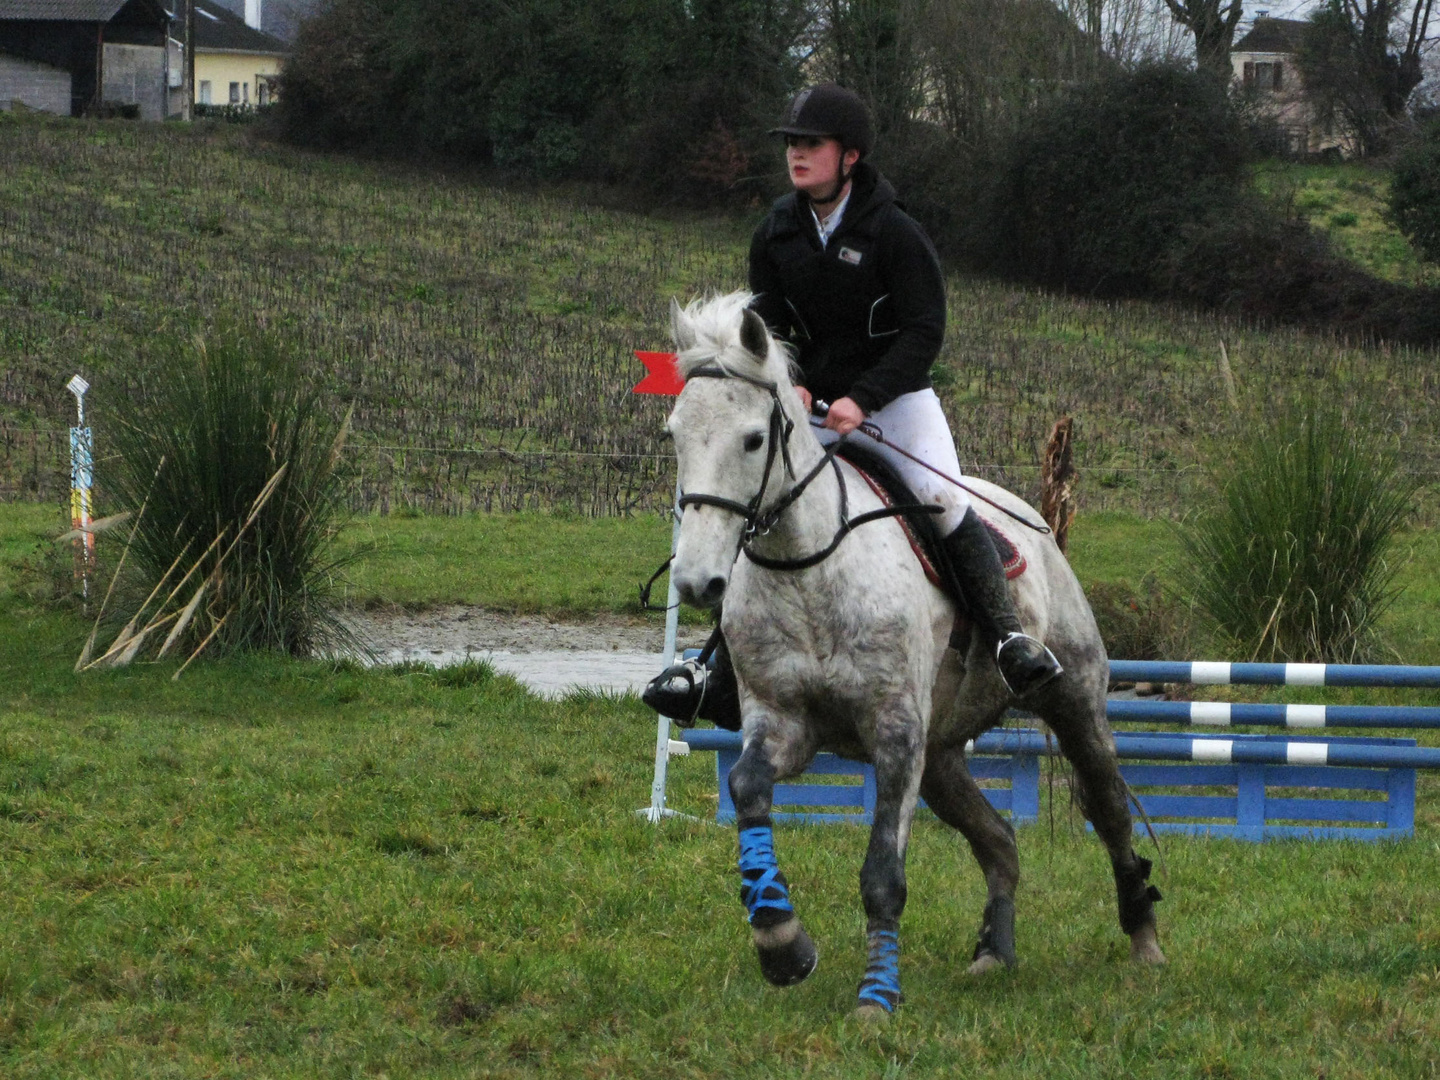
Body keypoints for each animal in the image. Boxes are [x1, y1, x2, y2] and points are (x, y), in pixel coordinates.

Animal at [668, 292, 1163, 1019]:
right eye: (675, 434)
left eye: (754, 439)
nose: (696, 582)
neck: (809, 568)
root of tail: (1039, 522)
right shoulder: (784, 722)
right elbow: (748, 788)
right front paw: (782, 942)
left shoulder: (896, 731)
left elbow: (883, 874)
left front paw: (876, 997)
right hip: (942, 756)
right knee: (999, 840)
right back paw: (993, 952)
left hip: (1072, 704)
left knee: (1109, 812)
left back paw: (1144, 936)